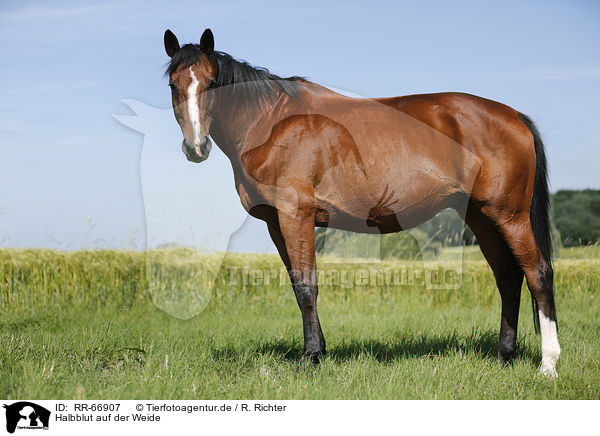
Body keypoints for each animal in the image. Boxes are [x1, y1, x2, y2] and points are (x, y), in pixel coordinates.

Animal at [163, 27, 564, 376]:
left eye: (212, 83)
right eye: (173, 84)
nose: (196, 147)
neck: (271, 124)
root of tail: (514, 116)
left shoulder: (296, 215)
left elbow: (307, 285)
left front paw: (311, 358)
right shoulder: (276, 222)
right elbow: (297, 284)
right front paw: (318, 351)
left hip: (510, 216)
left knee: (538, 274)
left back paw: (548, 365)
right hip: (482, 218)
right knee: (508, 278)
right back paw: (504, 356)